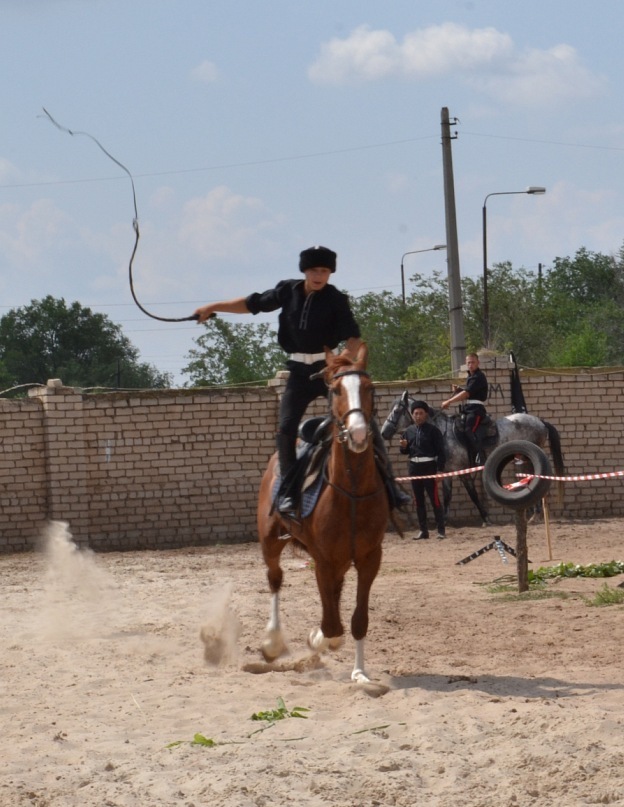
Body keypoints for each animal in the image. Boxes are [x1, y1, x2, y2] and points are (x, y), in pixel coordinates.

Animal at [256, 344, 388, 684]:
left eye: (369, 388)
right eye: (336, 390)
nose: (358, 434)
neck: (351, 492)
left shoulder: (370, 558)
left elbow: (356, 620)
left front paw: (360, 673)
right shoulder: (323, 560)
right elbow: (331, 625)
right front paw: (318, 639)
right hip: (270, 540)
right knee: (275, 579)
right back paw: (272, 642)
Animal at [380, 392, 564, 528]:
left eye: (396, 411)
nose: (384, 432)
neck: (442, 433)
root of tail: (540, 421)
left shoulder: (463, 472)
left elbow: (473, 495)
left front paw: (486, 519)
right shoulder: (447, 472)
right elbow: (447, 496)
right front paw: (444, 521)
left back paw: (535, 516)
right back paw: (534, 515)